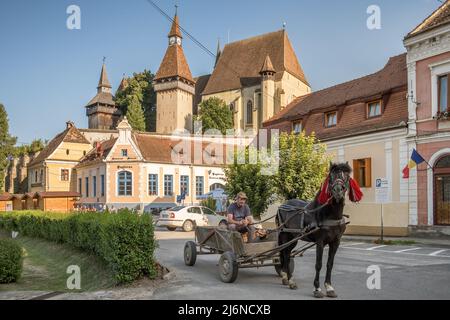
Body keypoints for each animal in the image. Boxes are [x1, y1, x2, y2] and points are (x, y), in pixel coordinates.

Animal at [274, 162, 362, 298]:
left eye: (347, 176)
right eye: (331, 176)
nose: (338, 191)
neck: (329, 215)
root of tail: (283, 205)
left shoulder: (335, 242)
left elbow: (329, 264)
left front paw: (329, 287)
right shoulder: (320, 242)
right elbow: (318, 264)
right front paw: (317, 289)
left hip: (293, 238)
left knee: (287, 253)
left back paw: (285, 277)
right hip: (285, 235)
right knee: (285, 253)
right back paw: (290, 280)